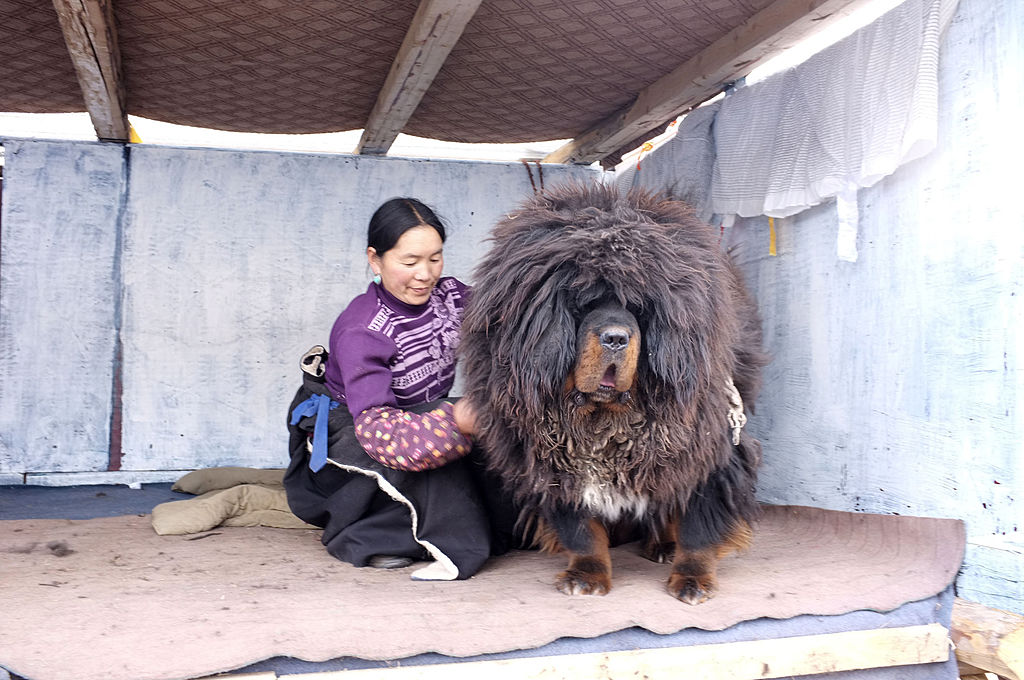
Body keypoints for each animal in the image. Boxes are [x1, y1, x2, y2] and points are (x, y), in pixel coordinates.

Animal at [460, 183, 765, 602]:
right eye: (581, 303)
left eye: (639, 308)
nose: (617, 338)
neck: (603, 421)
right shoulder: (553, 464)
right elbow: (582, 532)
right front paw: (586, 575)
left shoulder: (708, 453)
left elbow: (698, 527)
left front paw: (692, 578)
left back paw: (662, 545)